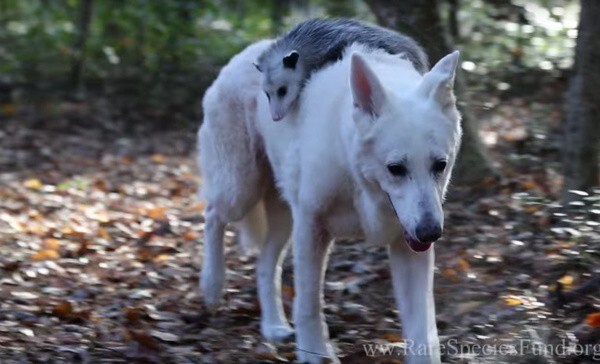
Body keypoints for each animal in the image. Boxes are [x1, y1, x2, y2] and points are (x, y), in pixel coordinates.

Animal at [199, 38, 462, 362]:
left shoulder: (408, 247)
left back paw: (273, 326)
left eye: (440, 165)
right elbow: (309, 304)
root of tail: (247, 53)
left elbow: (423, 331)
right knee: (212, 215)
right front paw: (315, 353)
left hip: (283, 218)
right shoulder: (311, 228)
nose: (431, 233)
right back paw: (212, 287)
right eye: (395, 169)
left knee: (264, 265)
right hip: (240, 191)